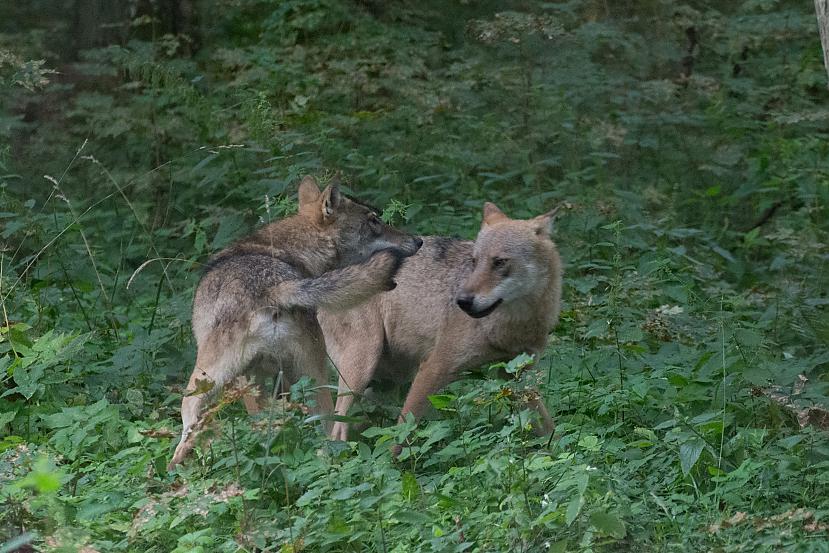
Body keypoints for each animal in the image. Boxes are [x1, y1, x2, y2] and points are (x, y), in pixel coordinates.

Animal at [171, 175, 424, 468]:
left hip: (231, 379)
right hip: (298, 375)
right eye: (374, 221)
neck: (288, 252)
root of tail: (272, 289)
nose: (418, 240)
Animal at [318, 202, 564, 444]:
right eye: (474, 261)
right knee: (336, 432)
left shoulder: (516, 375)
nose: (462, 301)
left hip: (385, 385)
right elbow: (402, 435)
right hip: (361, 372)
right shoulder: (433, 368)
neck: (514, 325)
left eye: (500, 262)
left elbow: (550, 432)